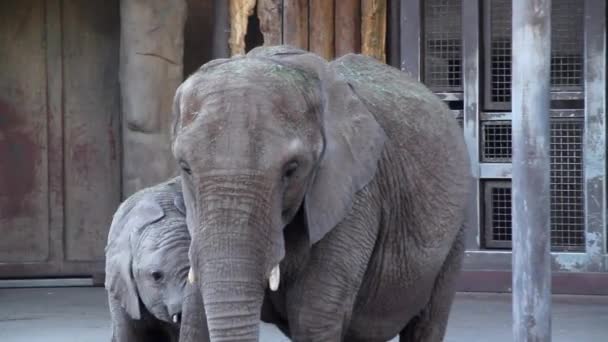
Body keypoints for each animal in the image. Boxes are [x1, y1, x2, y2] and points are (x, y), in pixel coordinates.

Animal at [171, 46, 470, 342]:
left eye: (291, 169)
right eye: (185, 167)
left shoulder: (355, 193)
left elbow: (313, 316)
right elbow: (195, 318)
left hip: (456, 232)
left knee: (428, 321)